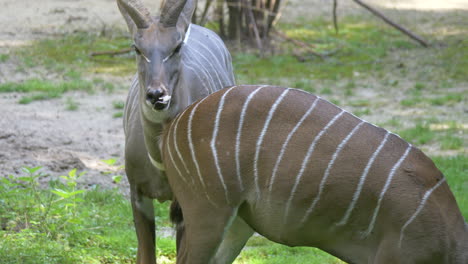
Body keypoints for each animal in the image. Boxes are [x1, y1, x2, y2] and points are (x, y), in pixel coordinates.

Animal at [117, 0, 234, 262]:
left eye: (177, 46)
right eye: (137, 48)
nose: (156, 95)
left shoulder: (186, 207)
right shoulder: (137, 194)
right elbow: (146, 254)